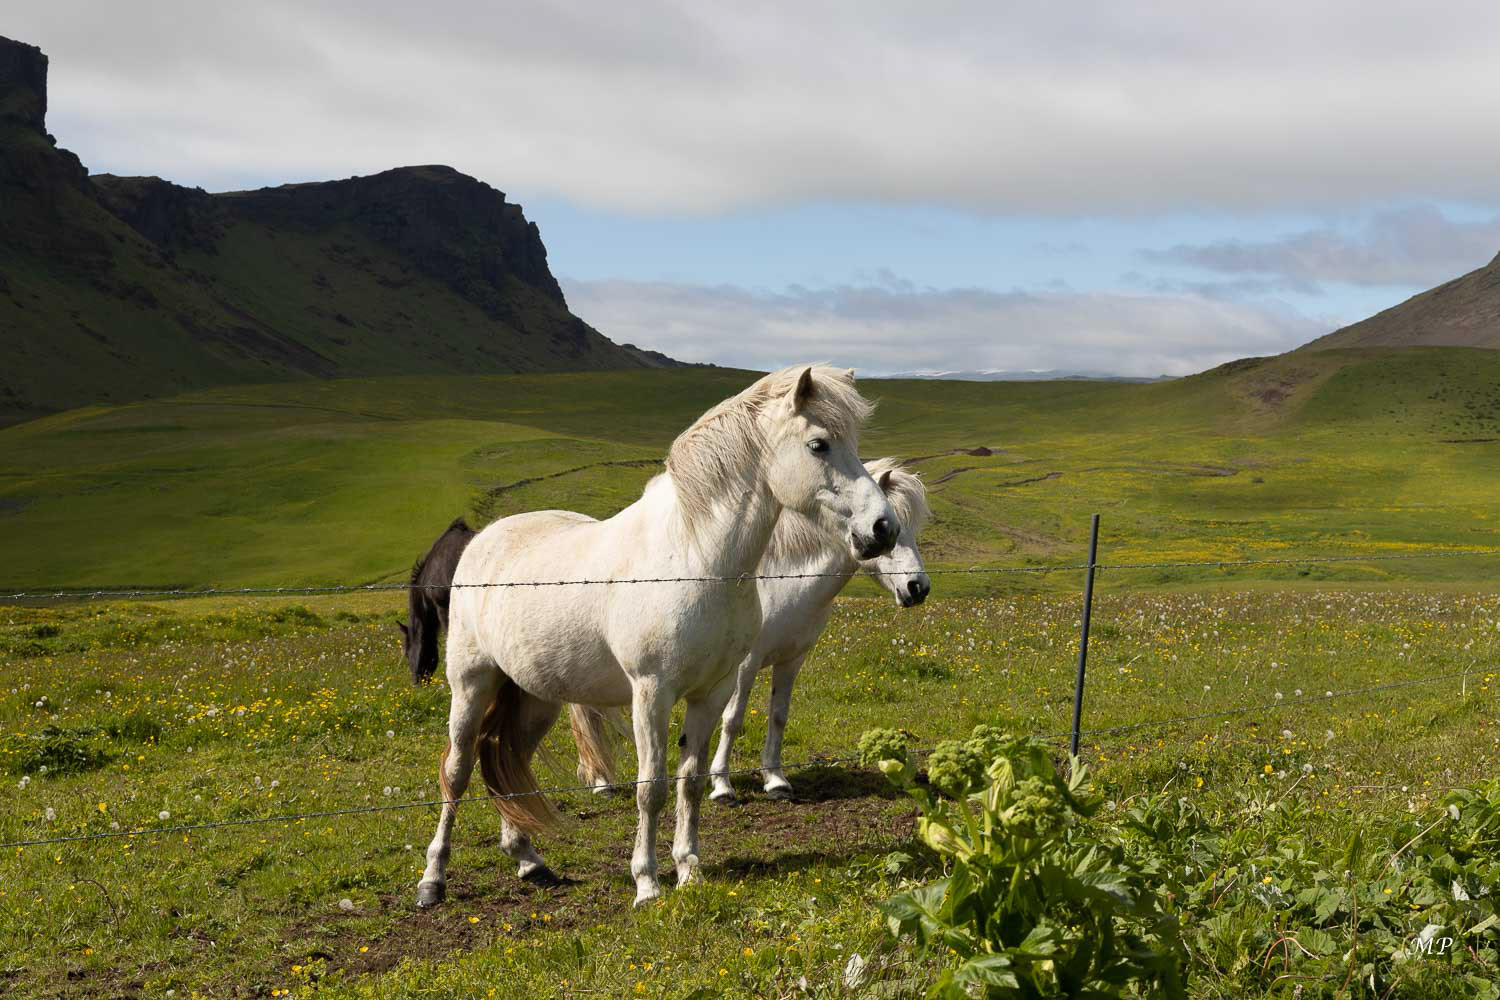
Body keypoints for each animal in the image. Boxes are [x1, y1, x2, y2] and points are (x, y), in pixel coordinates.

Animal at [568, 458, 931, 805]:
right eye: (890, 532)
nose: (918, 588)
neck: (780, 580)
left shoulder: (792, 660)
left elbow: (779, 716)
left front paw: (776, 780)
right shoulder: (745, 664)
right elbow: (733, 719)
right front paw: (722, 785)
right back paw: (601, 783)